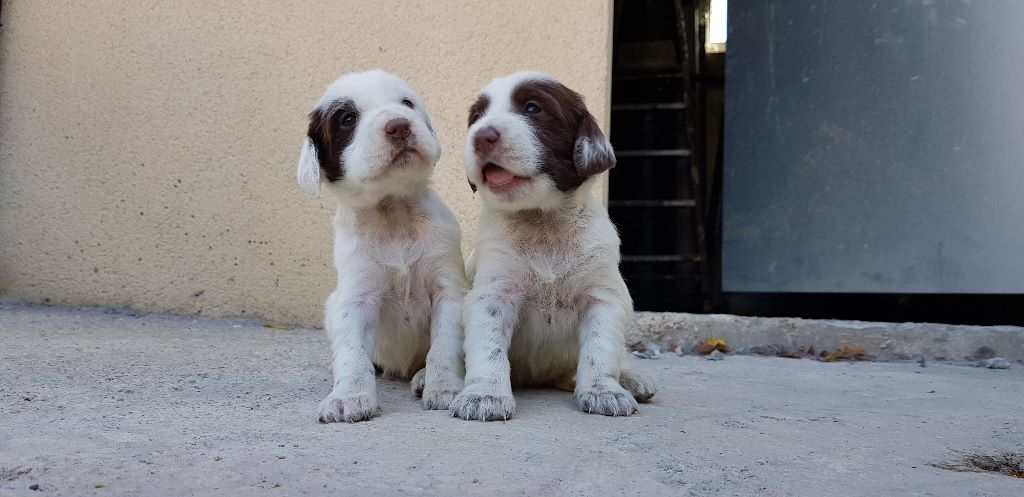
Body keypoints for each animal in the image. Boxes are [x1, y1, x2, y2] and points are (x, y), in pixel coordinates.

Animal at [294, 69, 466, 422]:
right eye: (348, 119)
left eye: (407, 104)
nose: (399, 125)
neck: (394, 211)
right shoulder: (355, 296)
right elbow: (353, 353)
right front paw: (349, 397)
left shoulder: (448, 287)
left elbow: (445, 343)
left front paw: (445, 389)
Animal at [452, 68, 659, 418]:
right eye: (477, 117)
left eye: (533, 109)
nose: (481, 136)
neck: (544, 222)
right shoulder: (493, 293)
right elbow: (488, 348)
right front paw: (484, 395)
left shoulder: (602, 296)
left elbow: (600, 348)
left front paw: (604, 391)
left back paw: (631, 379)